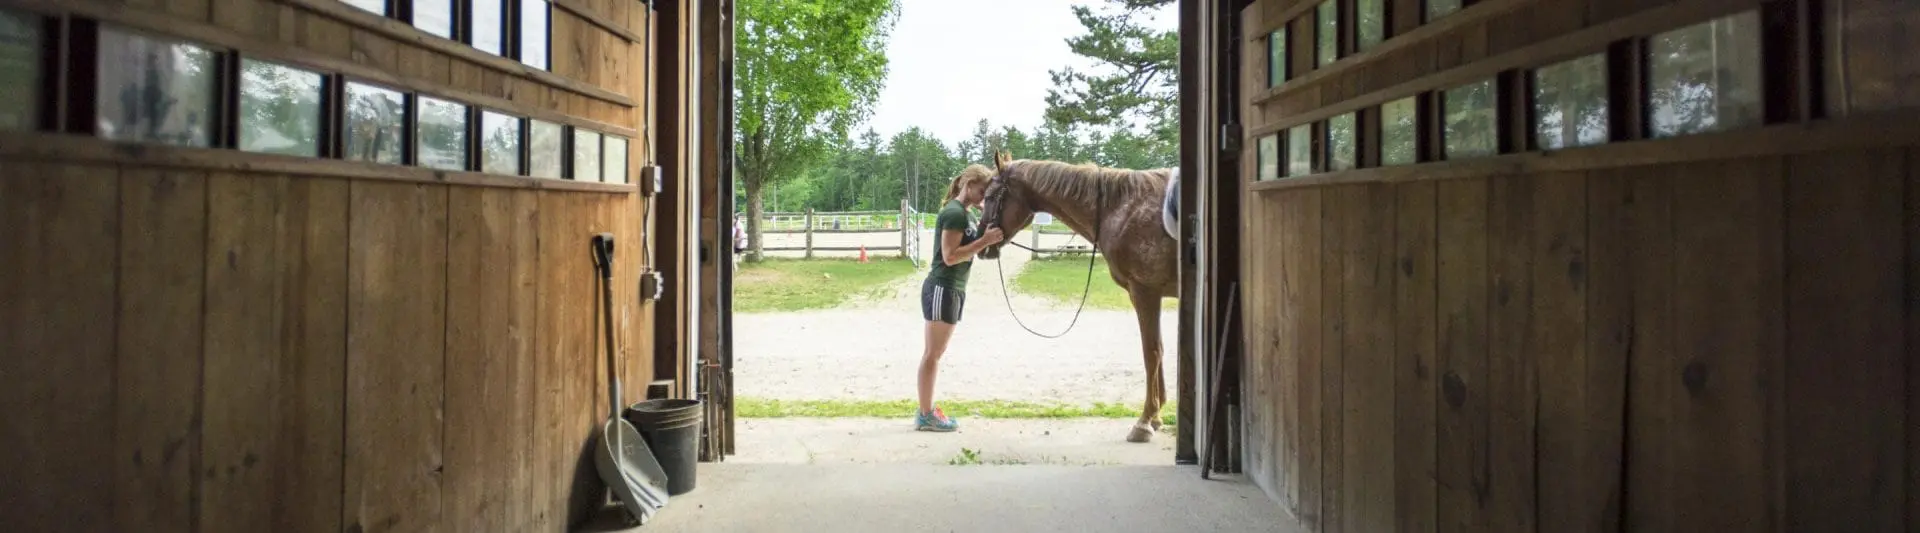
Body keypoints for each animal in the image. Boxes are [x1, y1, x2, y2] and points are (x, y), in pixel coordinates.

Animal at [983, 149, 1175, 440]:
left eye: (991, 196)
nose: (980, 242)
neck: (1123, 207)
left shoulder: (1145, 291)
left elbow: (1151, 352)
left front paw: (1144, 422)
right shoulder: (1153, 294)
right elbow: (1158, 350)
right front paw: (1156, 418)